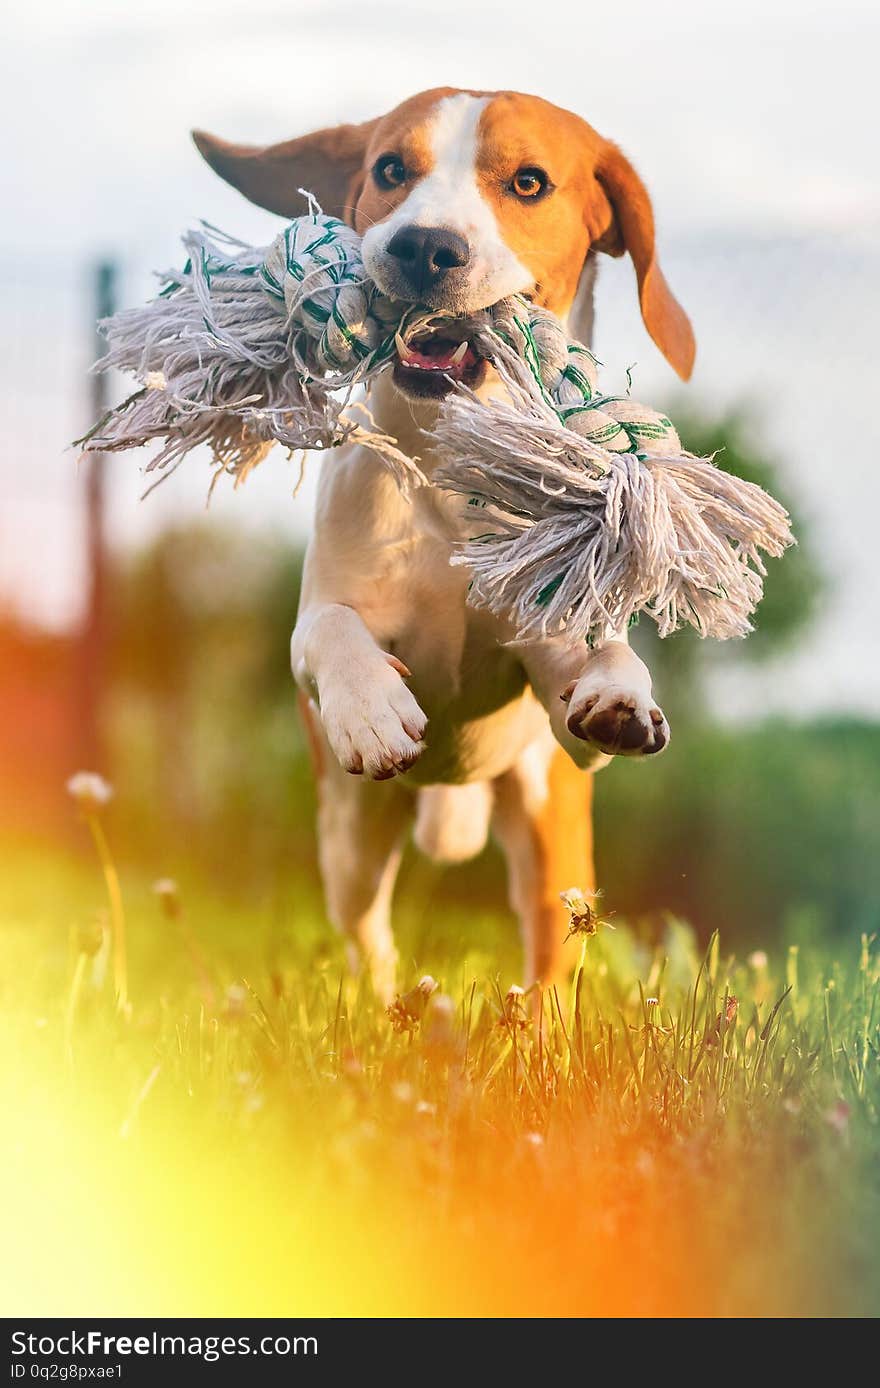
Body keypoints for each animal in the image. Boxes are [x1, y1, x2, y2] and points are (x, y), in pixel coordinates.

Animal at [192, 89, 691, 999]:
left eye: (528, 182)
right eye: (391, 168)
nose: (424, 246)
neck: (449, 462)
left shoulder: (553, 668)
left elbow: (597, 653)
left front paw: (622, 691)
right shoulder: (323, 615)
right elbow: (327, 629)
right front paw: (369, 707)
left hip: (552, 830)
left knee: (551, 948)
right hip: (349, 843)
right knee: (370, 938)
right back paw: (396, 1006)